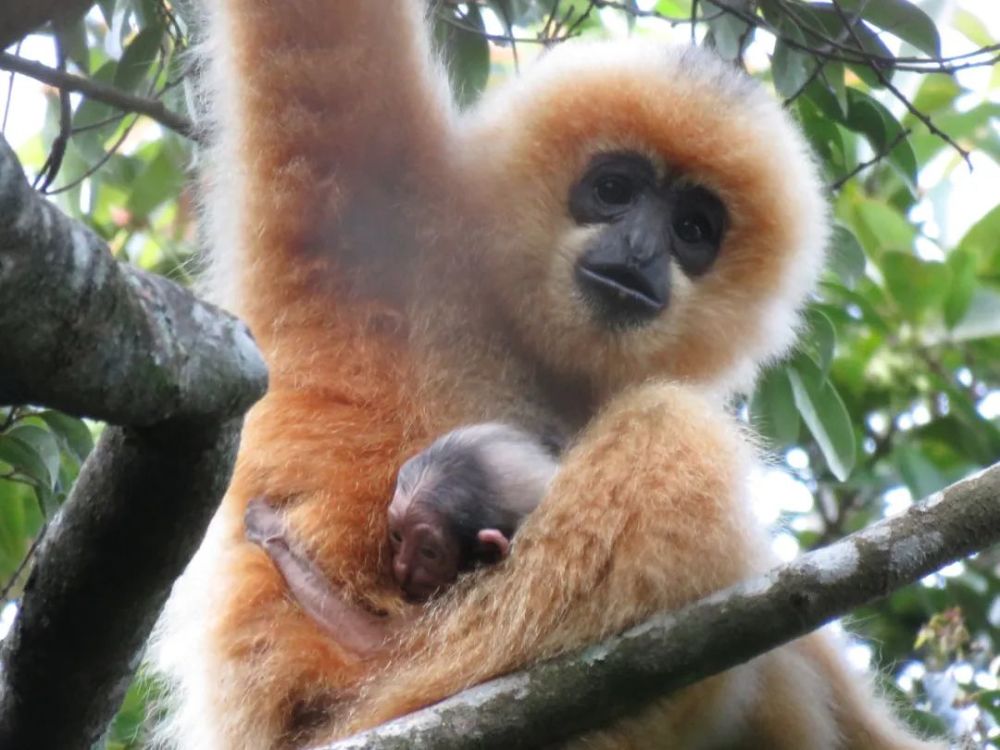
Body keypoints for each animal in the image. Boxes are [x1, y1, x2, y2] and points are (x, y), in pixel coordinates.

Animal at [148, 2, 946, 748]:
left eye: (692, 228)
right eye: (615, 189)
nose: (640, 249)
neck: (523, 334)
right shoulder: (374, 225)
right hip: (397, 695)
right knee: (673, 430)